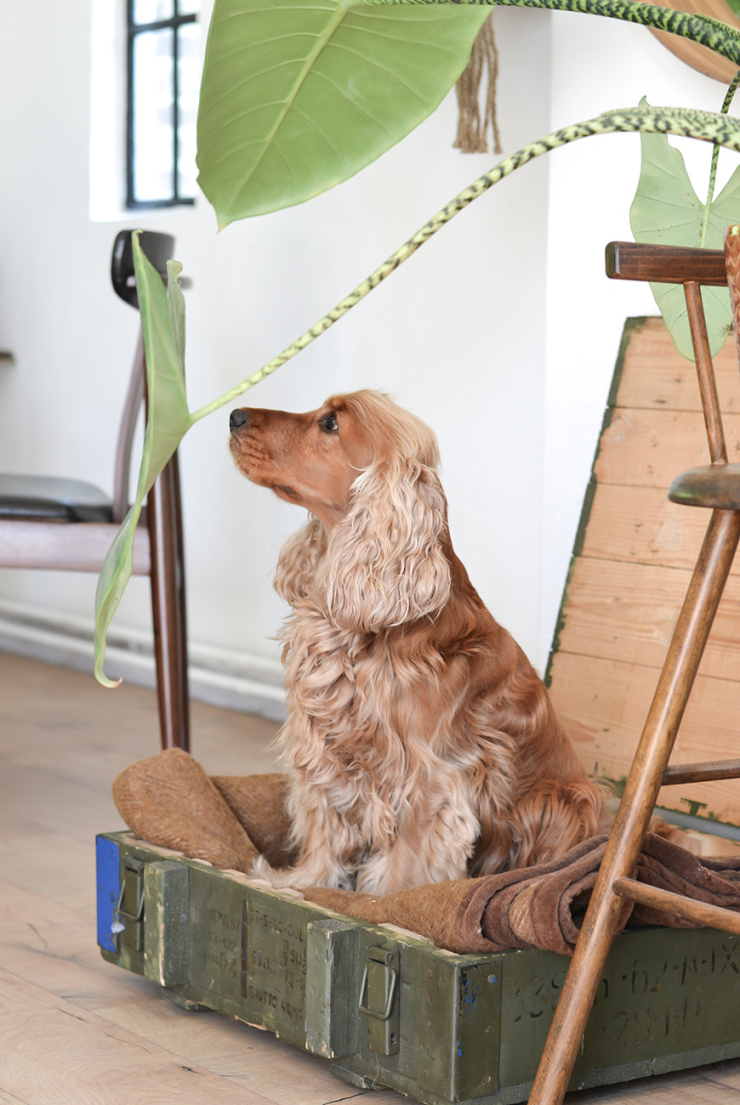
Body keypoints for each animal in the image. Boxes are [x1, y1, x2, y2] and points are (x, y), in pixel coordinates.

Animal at [230, 393, 609, 892]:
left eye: (331, 423)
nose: (234, 416)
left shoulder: (427, 777)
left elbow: (406, 860)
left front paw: (382, 902)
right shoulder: (324, 747)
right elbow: (324, 827)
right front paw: (298, 883)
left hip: (566, 799)